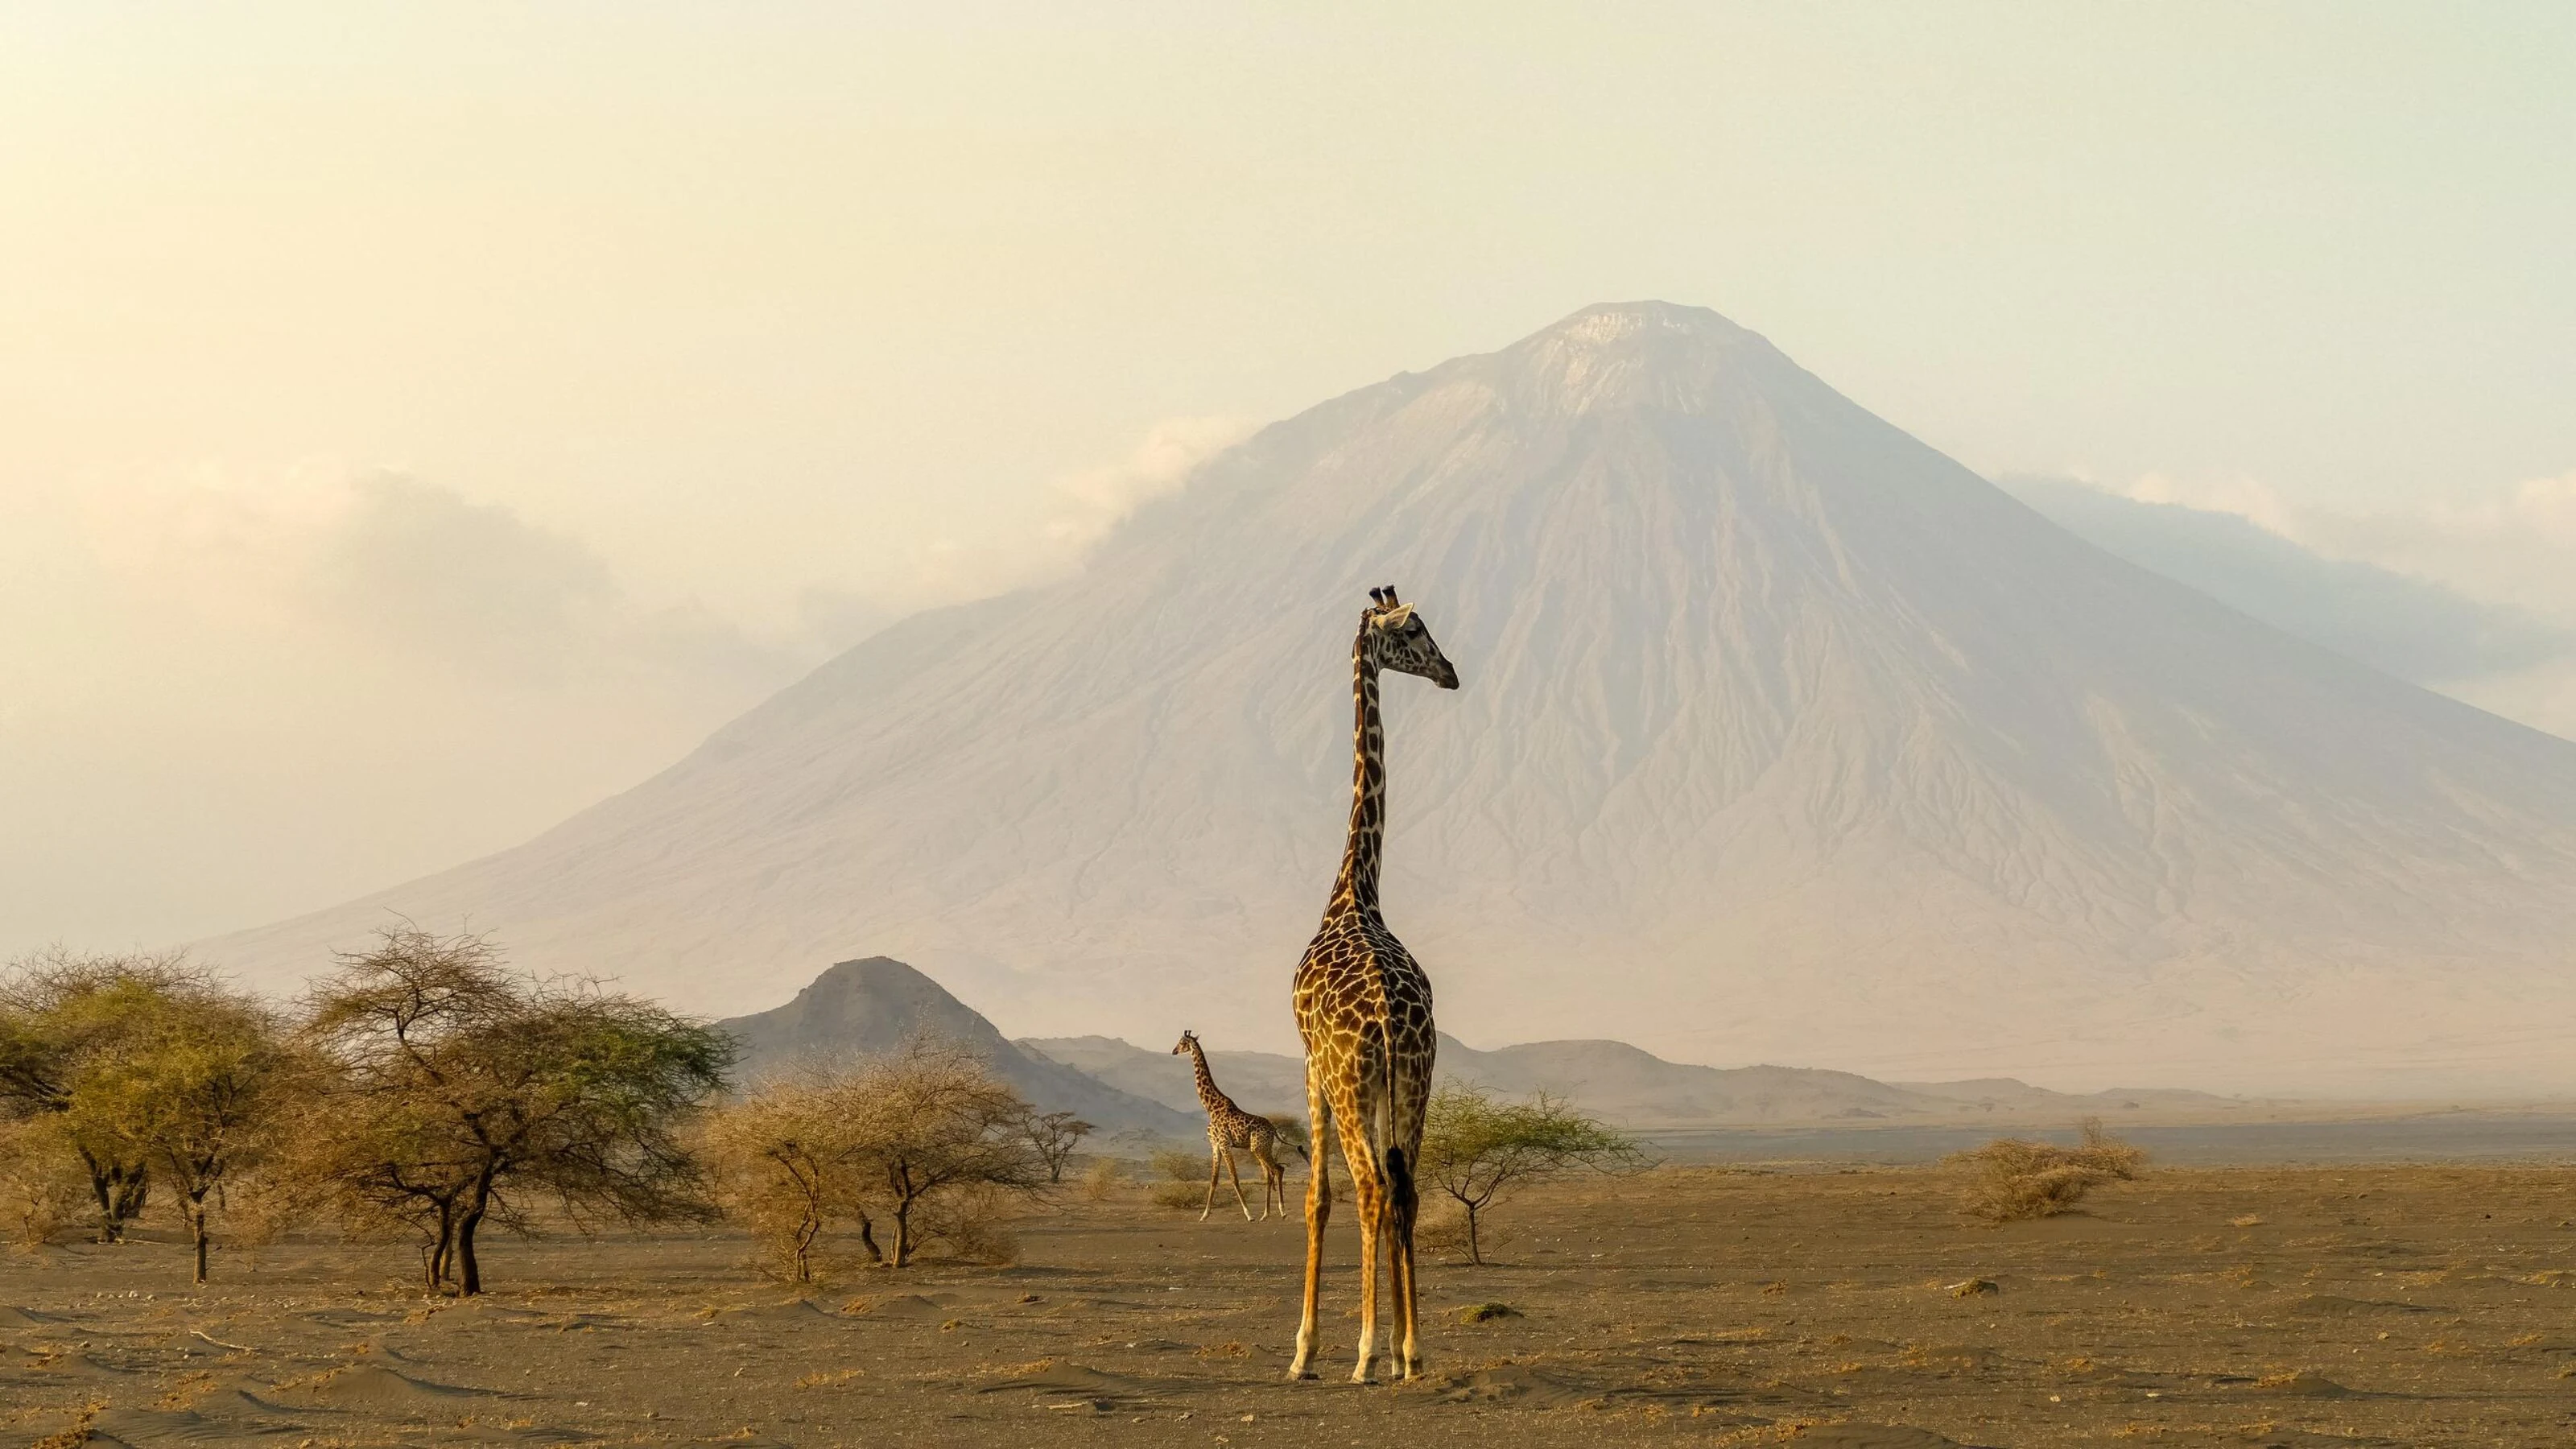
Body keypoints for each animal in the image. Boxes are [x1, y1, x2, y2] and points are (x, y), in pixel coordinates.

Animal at [1171, 1030, 1292, 1221]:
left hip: (1259, 1148)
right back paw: (1265, 1214)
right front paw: (1204, 1215)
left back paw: (1282, 1211)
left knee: (1278, 1169)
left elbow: (1234, 1178)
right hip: (1261, 1148)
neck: (1210, 1107)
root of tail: (1273, 1129)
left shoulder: (1224, 1144)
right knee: (1270, 1173)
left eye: (1182, 1042)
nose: (1174, 1051)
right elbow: (1214, 1179)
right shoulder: (1215, 1145)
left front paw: (1249, 1214)